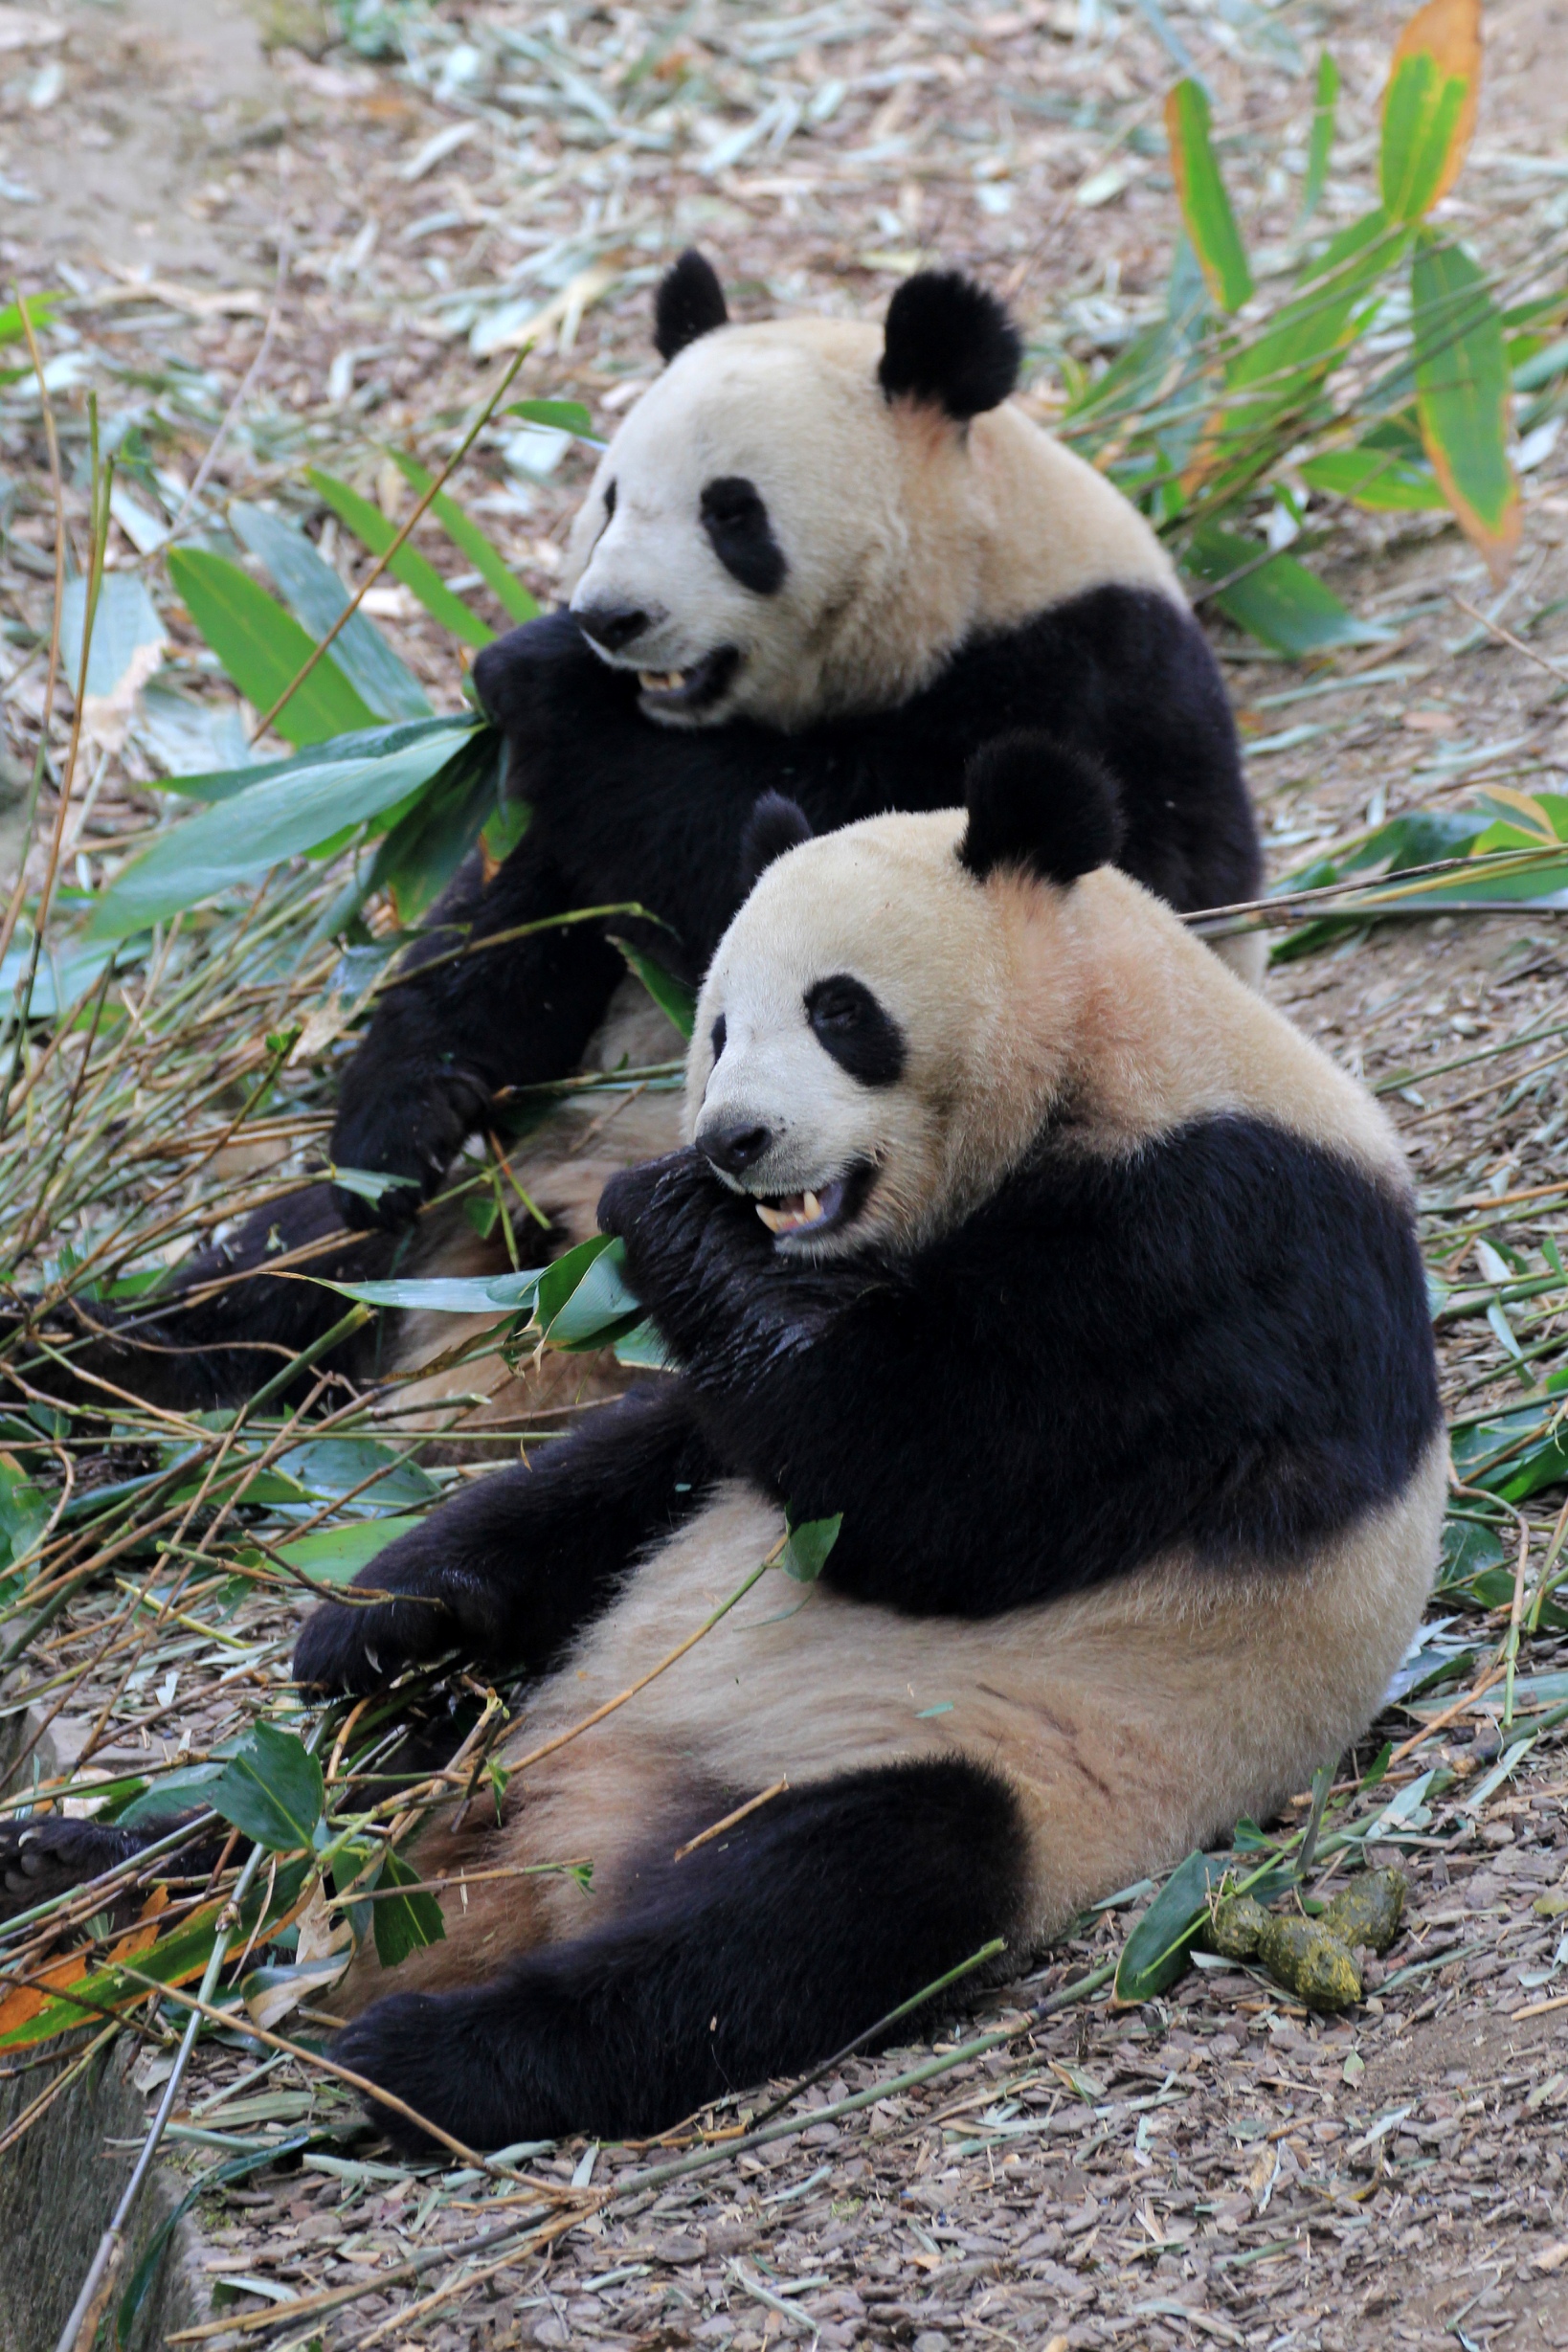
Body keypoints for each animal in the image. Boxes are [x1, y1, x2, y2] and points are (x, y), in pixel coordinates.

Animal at [27, 253, 1260, 1411]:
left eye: (732, 511)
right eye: (611, 496)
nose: (610, 617)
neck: (972, 573)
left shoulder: (1083, 684)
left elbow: (790, 847)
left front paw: (535, 674)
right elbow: (520, 932)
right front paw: (403, 1114)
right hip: (456, 1208)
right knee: (288, 1264)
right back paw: (89, 1364)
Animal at [220, 743, 1447, 2154]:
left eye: (839, 1011)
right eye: (714, 1027)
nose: (732, 1141)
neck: (1117, 1052)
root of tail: (549, 1850)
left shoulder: (1218, 1247)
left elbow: (933, 1486)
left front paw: (670, 1220)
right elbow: (662, 1458)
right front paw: (377, 1615)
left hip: (996, 1762)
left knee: (814, 1911)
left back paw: (426, 2057)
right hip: (494, 1734)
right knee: (304, 1804)